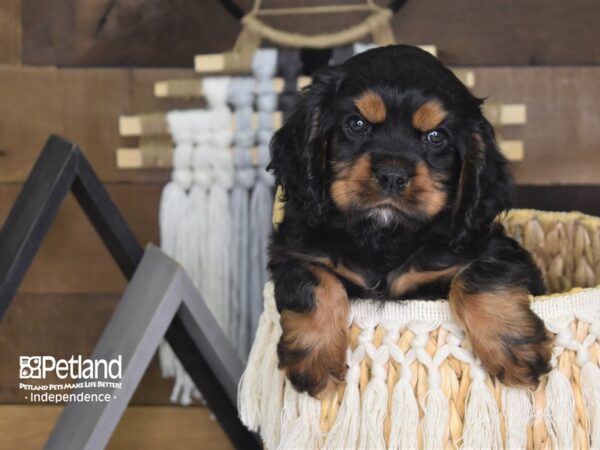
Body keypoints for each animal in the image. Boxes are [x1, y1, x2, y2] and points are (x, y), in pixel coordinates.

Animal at [268, 45, 552, 396]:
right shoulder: (293, 251)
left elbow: (477, 277)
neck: (384, 233)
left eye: (435, 136)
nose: (392, 176)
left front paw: (514, 347)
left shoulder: (496, 249)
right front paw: (315, 359)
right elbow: (314, 283)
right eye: (356, 123)